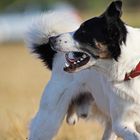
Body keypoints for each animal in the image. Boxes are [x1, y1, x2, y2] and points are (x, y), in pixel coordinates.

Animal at [26, 1, 140, 140]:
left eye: (83, 31)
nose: (51, 39)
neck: (132, 67)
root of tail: (55, 57)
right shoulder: (121, 123)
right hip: (49, 120)